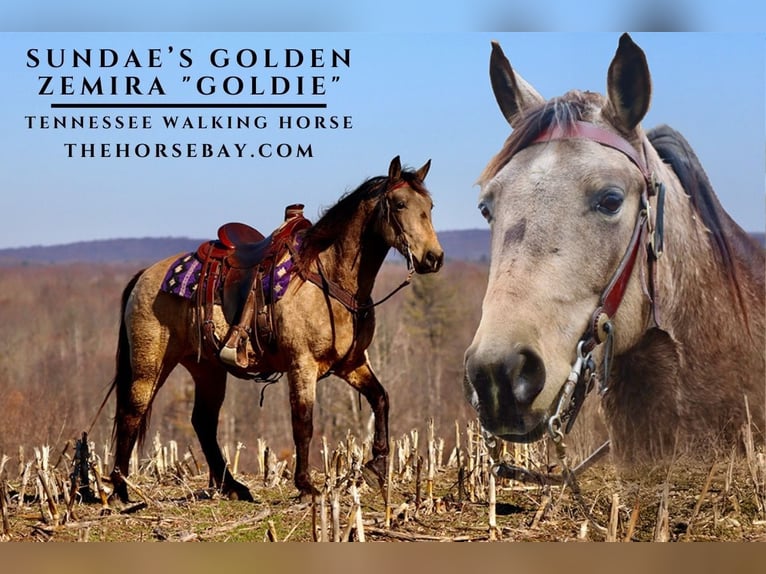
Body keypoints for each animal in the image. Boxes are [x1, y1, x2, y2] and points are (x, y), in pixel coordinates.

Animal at [106, 156, 444, 502]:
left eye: (429, 206)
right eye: (400, 204)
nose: (434, 257)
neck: (328, 278)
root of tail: (144, 275)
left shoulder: (352, 363)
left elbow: (381, 399)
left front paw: (375, 465)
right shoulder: (302, 365)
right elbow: (304, 422)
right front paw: (306, 485)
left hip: (207, 368)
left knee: (203, 421)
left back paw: (233, 486)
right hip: (150, 364)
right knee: (132, 413)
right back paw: (121, 489)